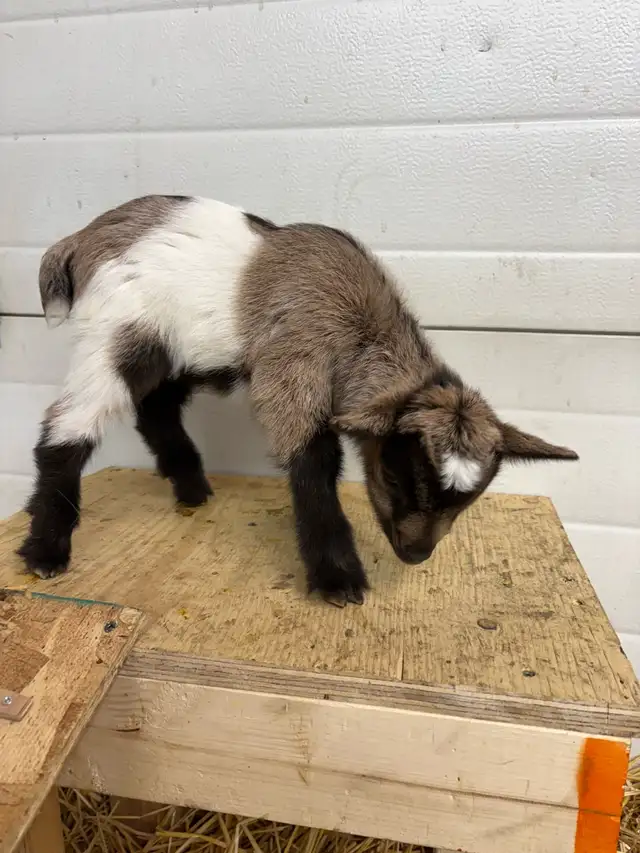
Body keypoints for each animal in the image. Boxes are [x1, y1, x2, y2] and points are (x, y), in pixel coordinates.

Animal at [19, 195, 578, 605]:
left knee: (155, 407)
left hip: (169, 348)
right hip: (116, 334)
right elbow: (314, 459)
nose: (416, 554)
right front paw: (337, 577)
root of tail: (79, 240)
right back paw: (46, 548)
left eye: (468, 499)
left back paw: (191, 487)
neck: (360, 329)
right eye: (395, 476)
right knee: (67, 426)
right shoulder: (293, 364)